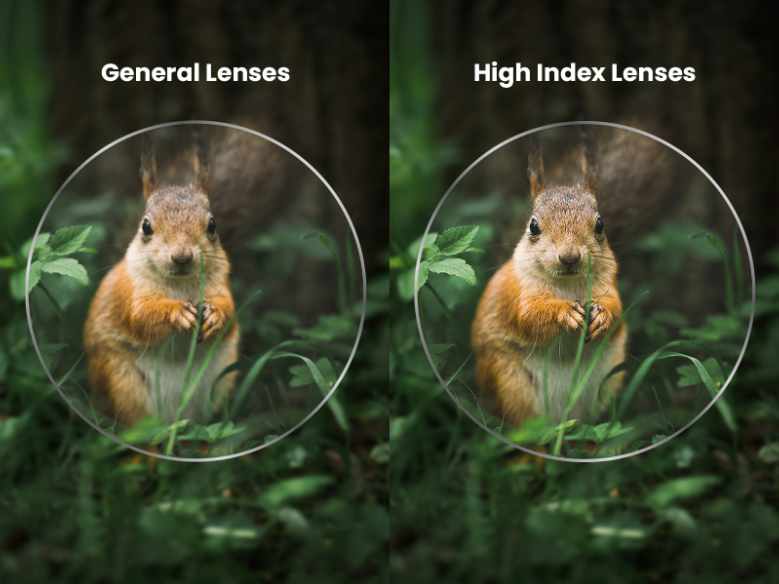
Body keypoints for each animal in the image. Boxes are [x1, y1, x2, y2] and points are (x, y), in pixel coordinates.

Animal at [83, 128, 239, 428]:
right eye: (145, 226)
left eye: (212, 225)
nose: (181, 257)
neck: (179, 285)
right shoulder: (129, 293)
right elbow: (141, 316)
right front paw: (177, 313)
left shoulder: (221, 284)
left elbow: (230, 309)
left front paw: (215, 316)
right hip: (121, 382)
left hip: (218, 382)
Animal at [470, 130, 627, 429]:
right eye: (533, 226)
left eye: (600, 225)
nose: (569, 257)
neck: (567, 285)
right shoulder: (517, 293)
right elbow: (528, 316)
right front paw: (565, 313)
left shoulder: (609, 285)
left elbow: (618, 310)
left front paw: (602, 317)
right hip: (509, 383)